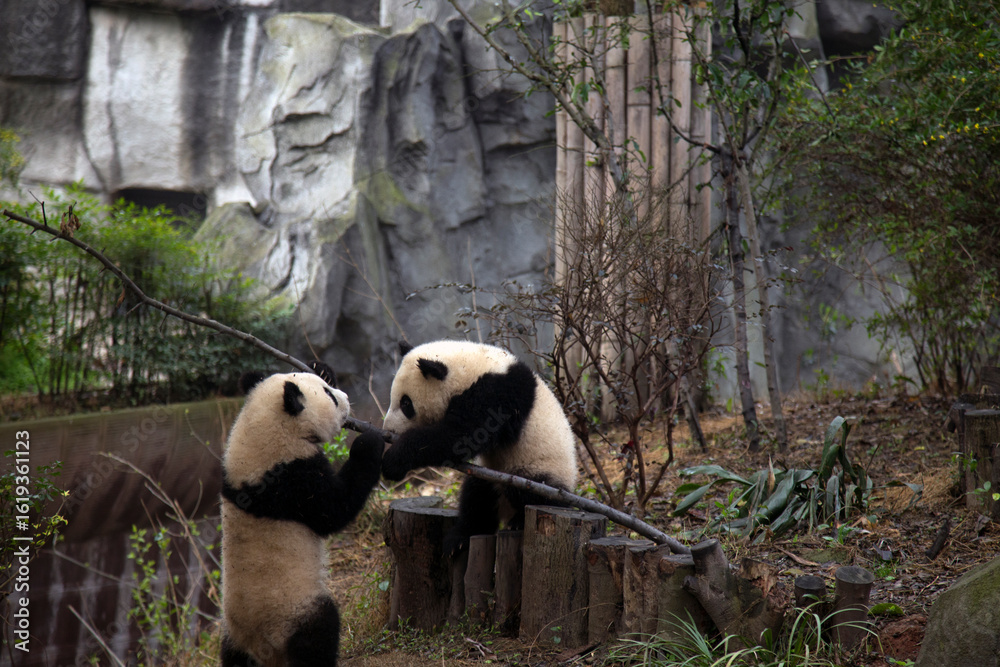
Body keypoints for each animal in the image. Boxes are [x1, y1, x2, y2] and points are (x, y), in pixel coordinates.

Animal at [220, 368, 383, 667]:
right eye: (329, 395)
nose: (346, 397)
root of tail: (263, 652)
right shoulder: (291, 478)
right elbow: (334, 510)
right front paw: (369, 442)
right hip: (294, 611)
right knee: (319, 633)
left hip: (233, 635)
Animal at [381, 340, 578, 554]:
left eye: (406, 403)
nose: (388, 429)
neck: (469, 368)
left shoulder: (497, 395)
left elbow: (461, 436)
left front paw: (393, 460)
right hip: (489, 475)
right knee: (477, 497)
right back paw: (460, 539)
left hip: (541, 468)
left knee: (531, 491)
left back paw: (518, 521)